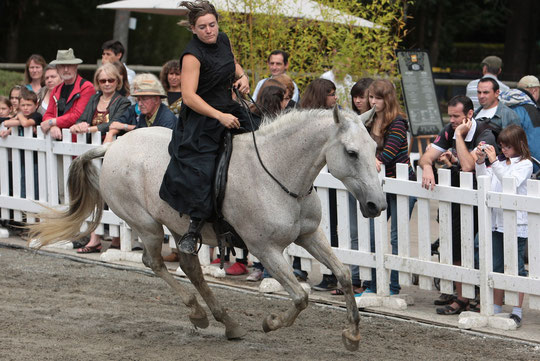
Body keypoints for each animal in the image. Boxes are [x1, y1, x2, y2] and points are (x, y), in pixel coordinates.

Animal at [28, 107, 384, 348]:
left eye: (374, 149)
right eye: (352, 152)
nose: (376, 205)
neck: (277, 173)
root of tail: (114, 146)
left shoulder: (309, 236)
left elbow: (343, 276)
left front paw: (352, 334)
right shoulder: (265, 249)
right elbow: (301, 296)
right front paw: (270, 323)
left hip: (178, 226)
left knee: (190, 267)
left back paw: (225, 320)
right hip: (147, 225)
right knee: (154, 262)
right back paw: (197, 312)